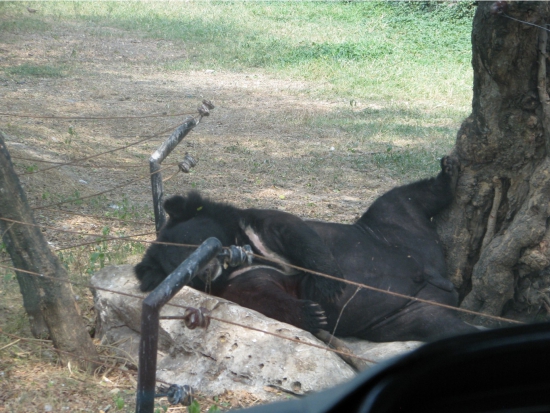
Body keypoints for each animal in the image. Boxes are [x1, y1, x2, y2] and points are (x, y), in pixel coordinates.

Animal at [135, 156, 478, 340]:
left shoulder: (256, 224)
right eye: (185, 271)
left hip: (393, 224)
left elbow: (296, 233)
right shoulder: (236, 280)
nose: (209, 270)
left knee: (407, 197)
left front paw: (329, 285)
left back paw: (449, 171)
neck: (242, 252)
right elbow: (261, 295)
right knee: (444, 327)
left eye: (196, 246)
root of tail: (436, 277)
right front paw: (314, 315)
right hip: (408, 315)